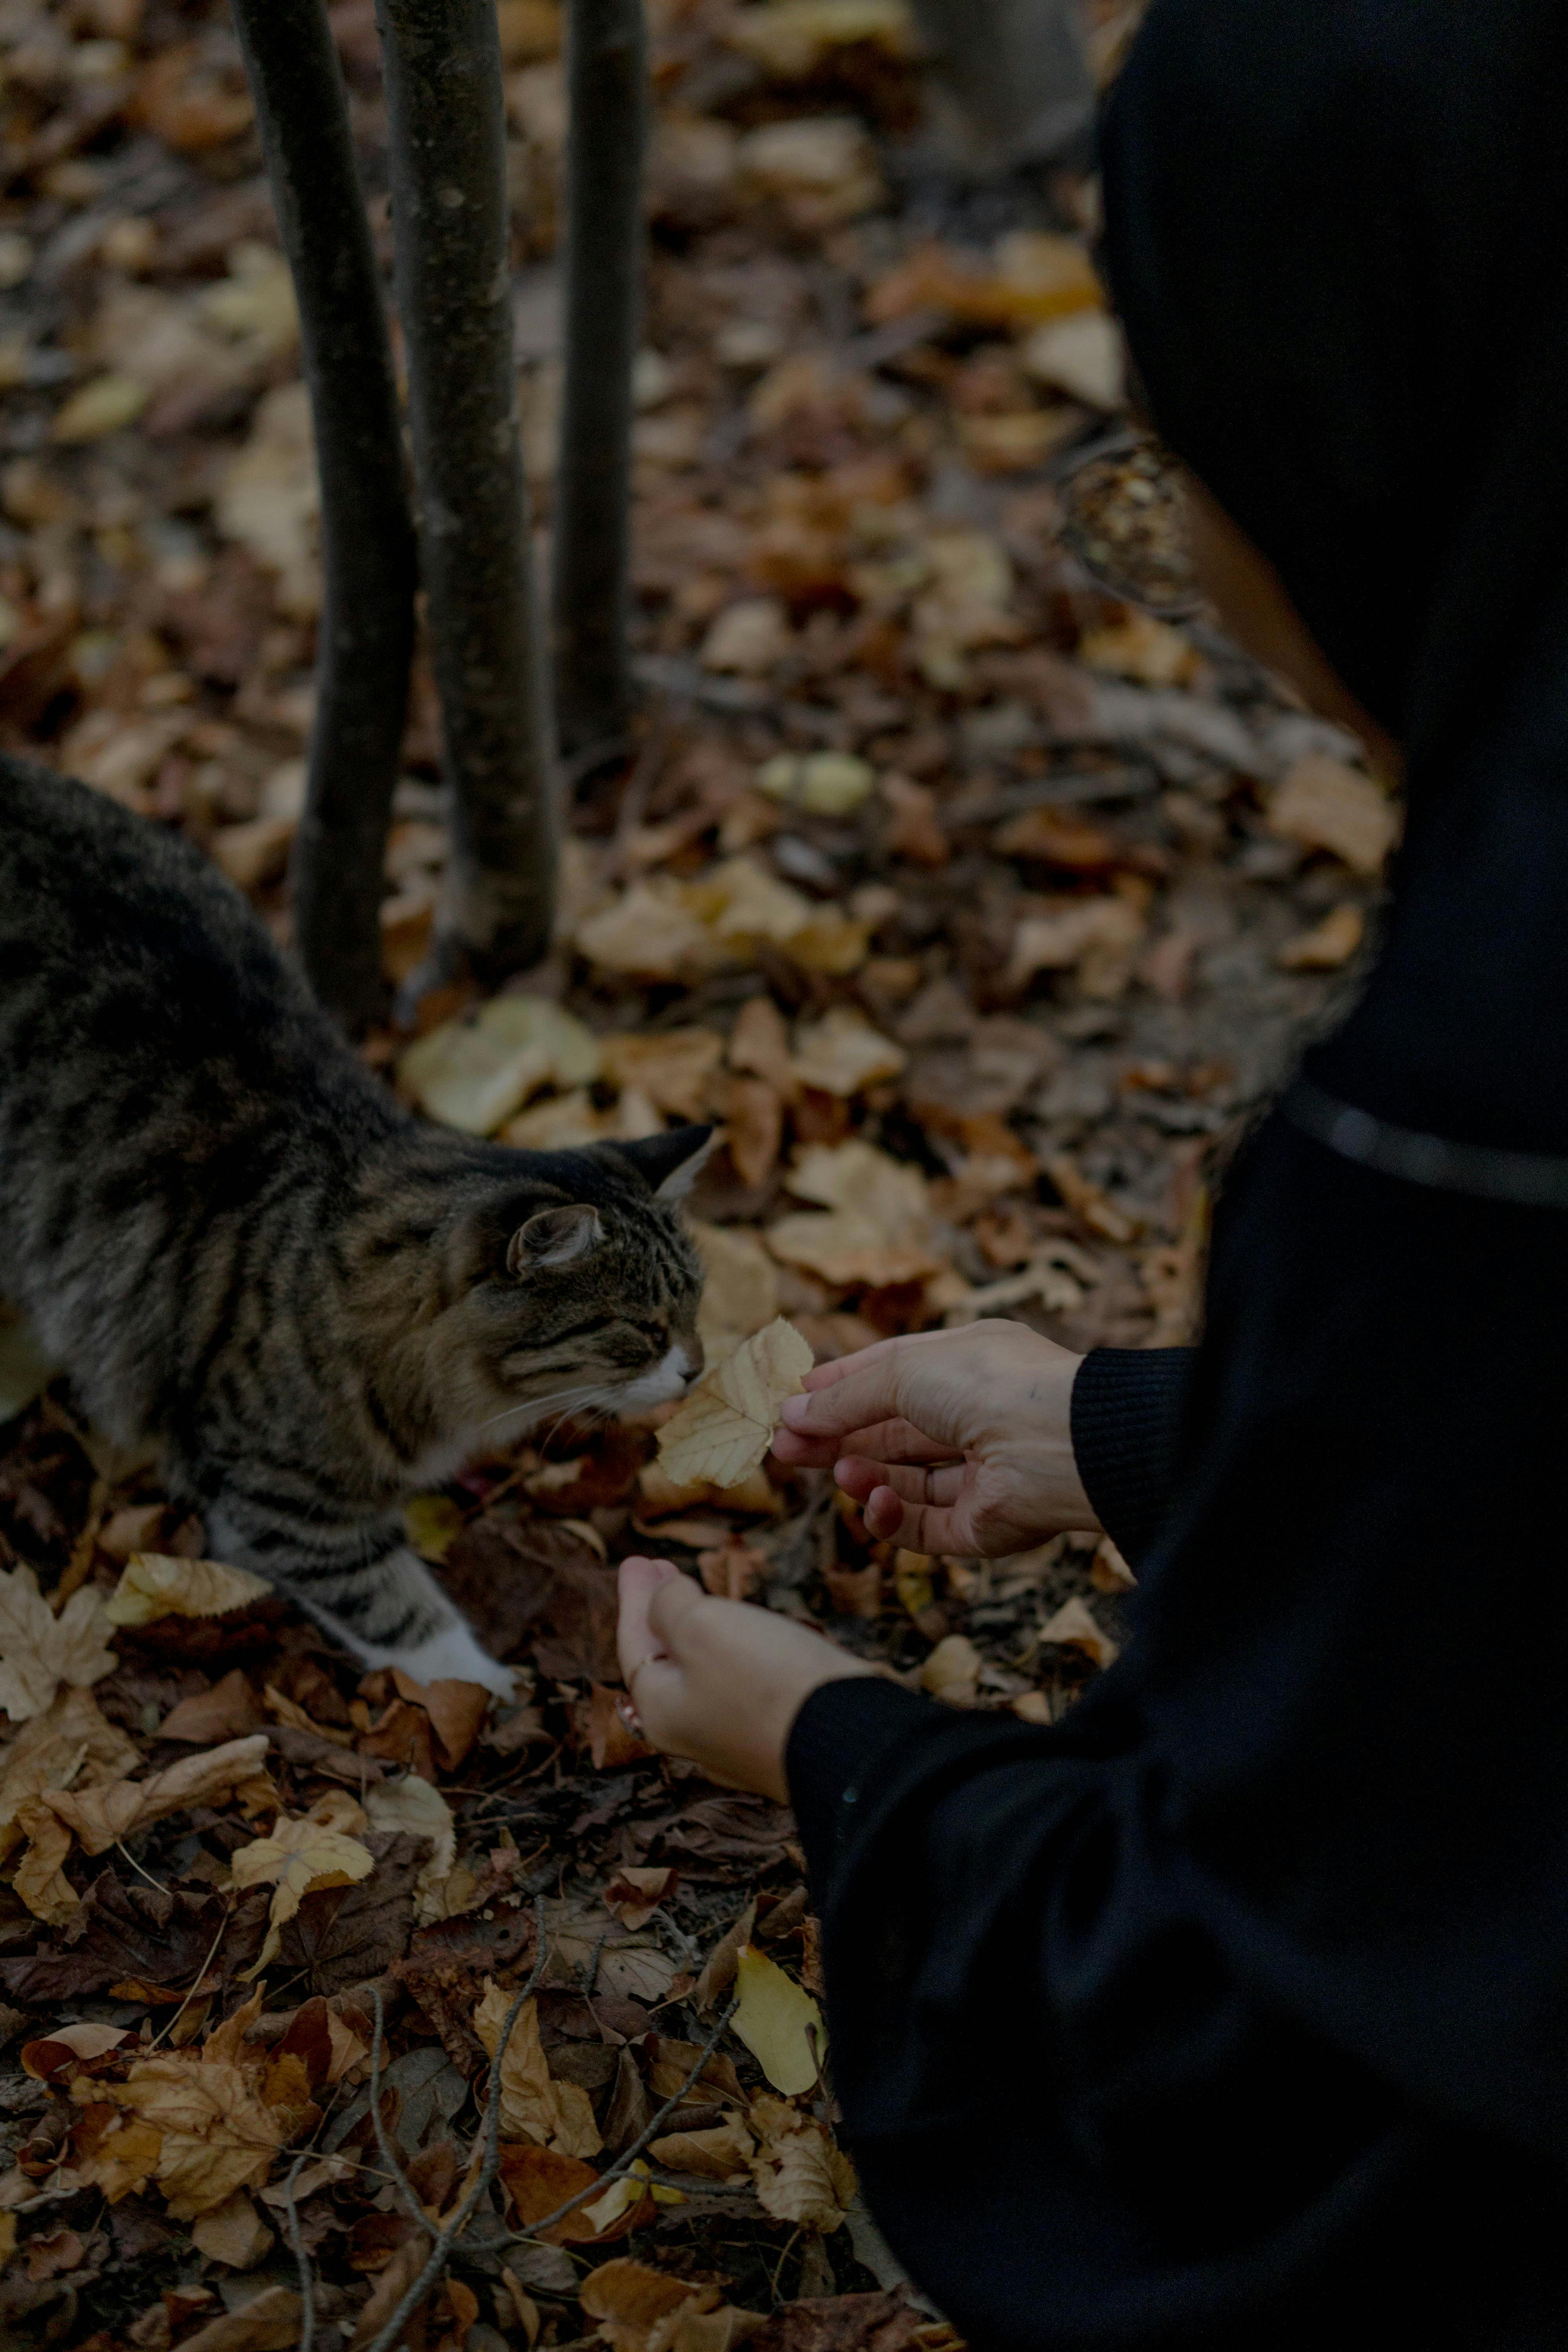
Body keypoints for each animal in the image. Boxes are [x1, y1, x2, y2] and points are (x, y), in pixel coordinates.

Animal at [0, 753, 705, 1693]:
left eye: (696, 1308)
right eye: (642, 1329)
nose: (699, 1370)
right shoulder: (279, 1496)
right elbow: (395, 1607)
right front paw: (485, 1689)